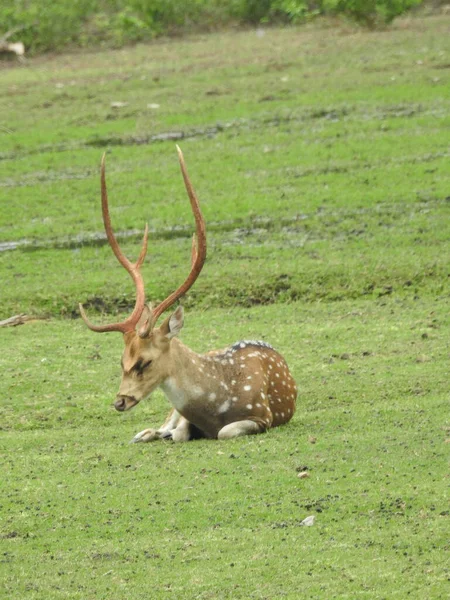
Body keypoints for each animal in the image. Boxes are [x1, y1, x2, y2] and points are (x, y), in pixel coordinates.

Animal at [80, 146, 298, 440]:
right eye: (121, 360)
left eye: (144, 362)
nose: (120, 401)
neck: (216, 403)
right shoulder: (184, 416)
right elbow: (180, 432)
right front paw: (164, 434)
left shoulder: (262, 415)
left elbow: (224, 432)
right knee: (157, 428)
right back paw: (147, 434)